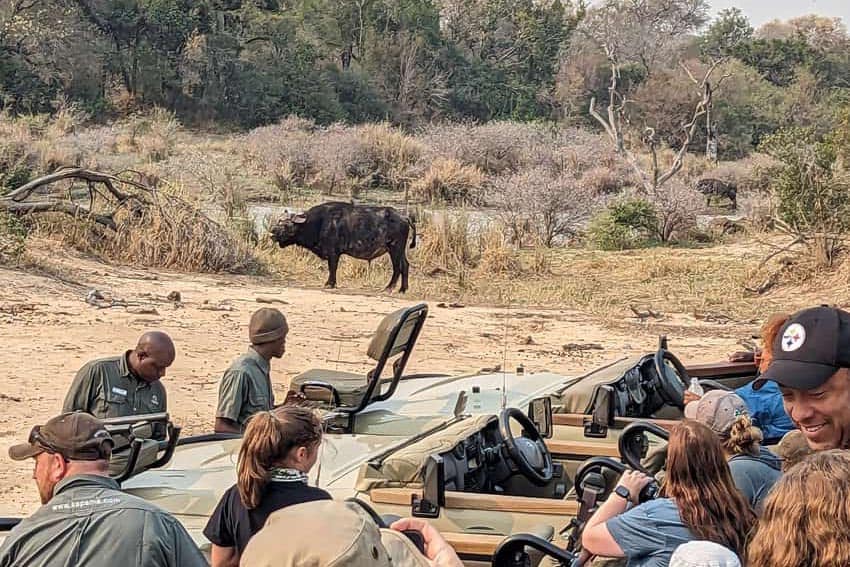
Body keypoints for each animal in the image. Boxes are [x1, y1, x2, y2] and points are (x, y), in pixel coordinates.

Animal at [271, 201, 417, 292]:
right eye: (279, 221)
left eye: (286, 224)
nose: (272, 232)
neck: (319, 222)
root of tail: (404, 217)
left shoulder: (333, 253)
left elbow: (332, 268)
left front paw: (330, 283)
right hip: (399, 250)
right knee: (405, 265)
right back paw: (403, 289)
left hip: (395, 248)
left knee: (398, 267)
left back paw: (389, 288)